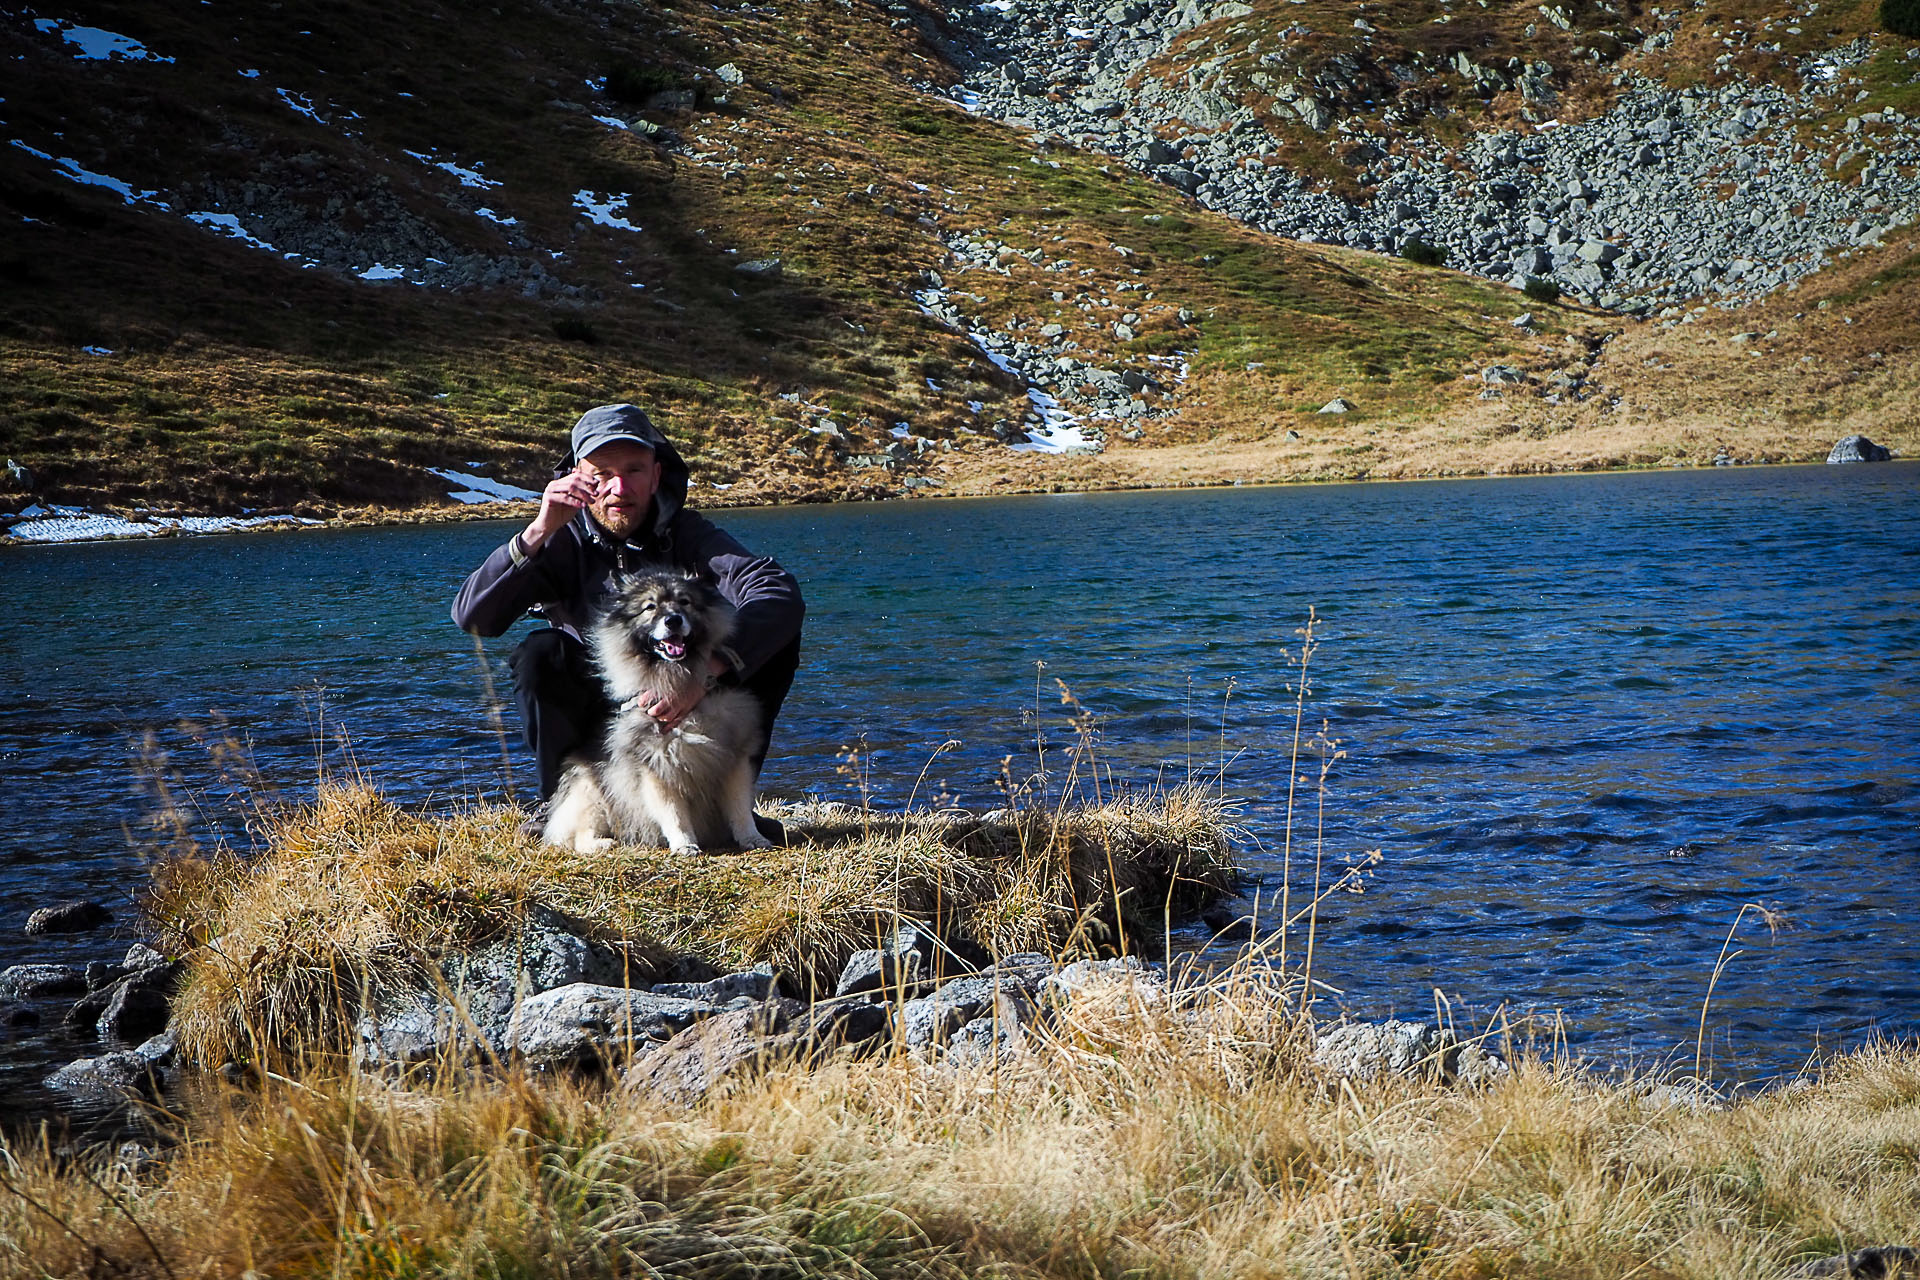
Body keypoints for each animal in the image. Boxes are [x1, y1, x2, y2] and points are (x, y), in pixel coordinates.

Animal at [541, 575, 771, 855]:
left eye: (685, 601)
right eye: (649, 607)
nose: (673, 620)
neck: (678, 679)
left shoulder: (733, 762)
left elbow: (740, 809)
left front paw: (753, 838)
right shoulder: (656, 768)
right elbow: (674, 813)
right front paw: (685, 845)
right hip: (592, 794)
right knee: (578, 836)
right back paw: (603, 843)